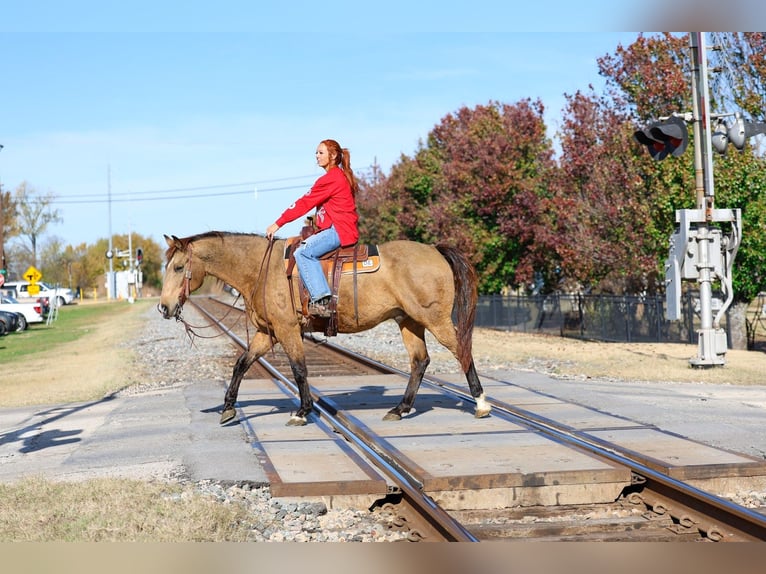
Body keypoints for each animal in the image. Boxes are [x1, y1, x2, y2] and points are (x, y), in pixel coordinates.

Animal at [158, 231, 492, 426]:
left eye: (178, 267)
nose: (164, 307)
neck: (261, 269)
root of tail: (435, 250)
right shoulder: (269, 333)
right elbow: (242, 363)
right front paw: (228, 408)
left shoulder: (288, 330)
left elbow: (299, 369)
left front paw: (303, 411)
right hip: (408, 321)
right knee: (420, 361)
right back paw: (400, 408)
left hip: (434, 319)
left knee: (462, 351)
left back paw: (481, 404)